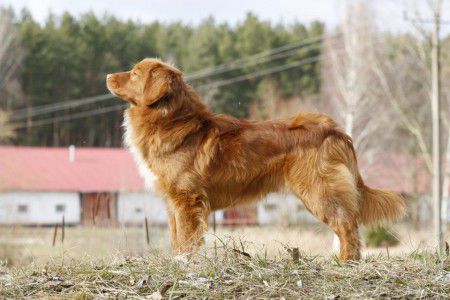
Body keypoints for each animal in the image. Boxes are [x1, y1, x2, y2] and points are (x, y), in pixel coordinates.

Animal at [105, 58, 404, 260]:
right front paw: (179, 260)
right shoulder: (172, 203)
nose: (108, 75)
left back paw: (345, 263)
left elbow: (188, 238)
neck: (170, 121)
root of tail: (334, 130)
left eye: (134, 73)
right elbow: (177, 237)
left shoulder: (187, 199)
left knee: (347, 226)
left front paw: (185, 264)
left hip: (320, 192)